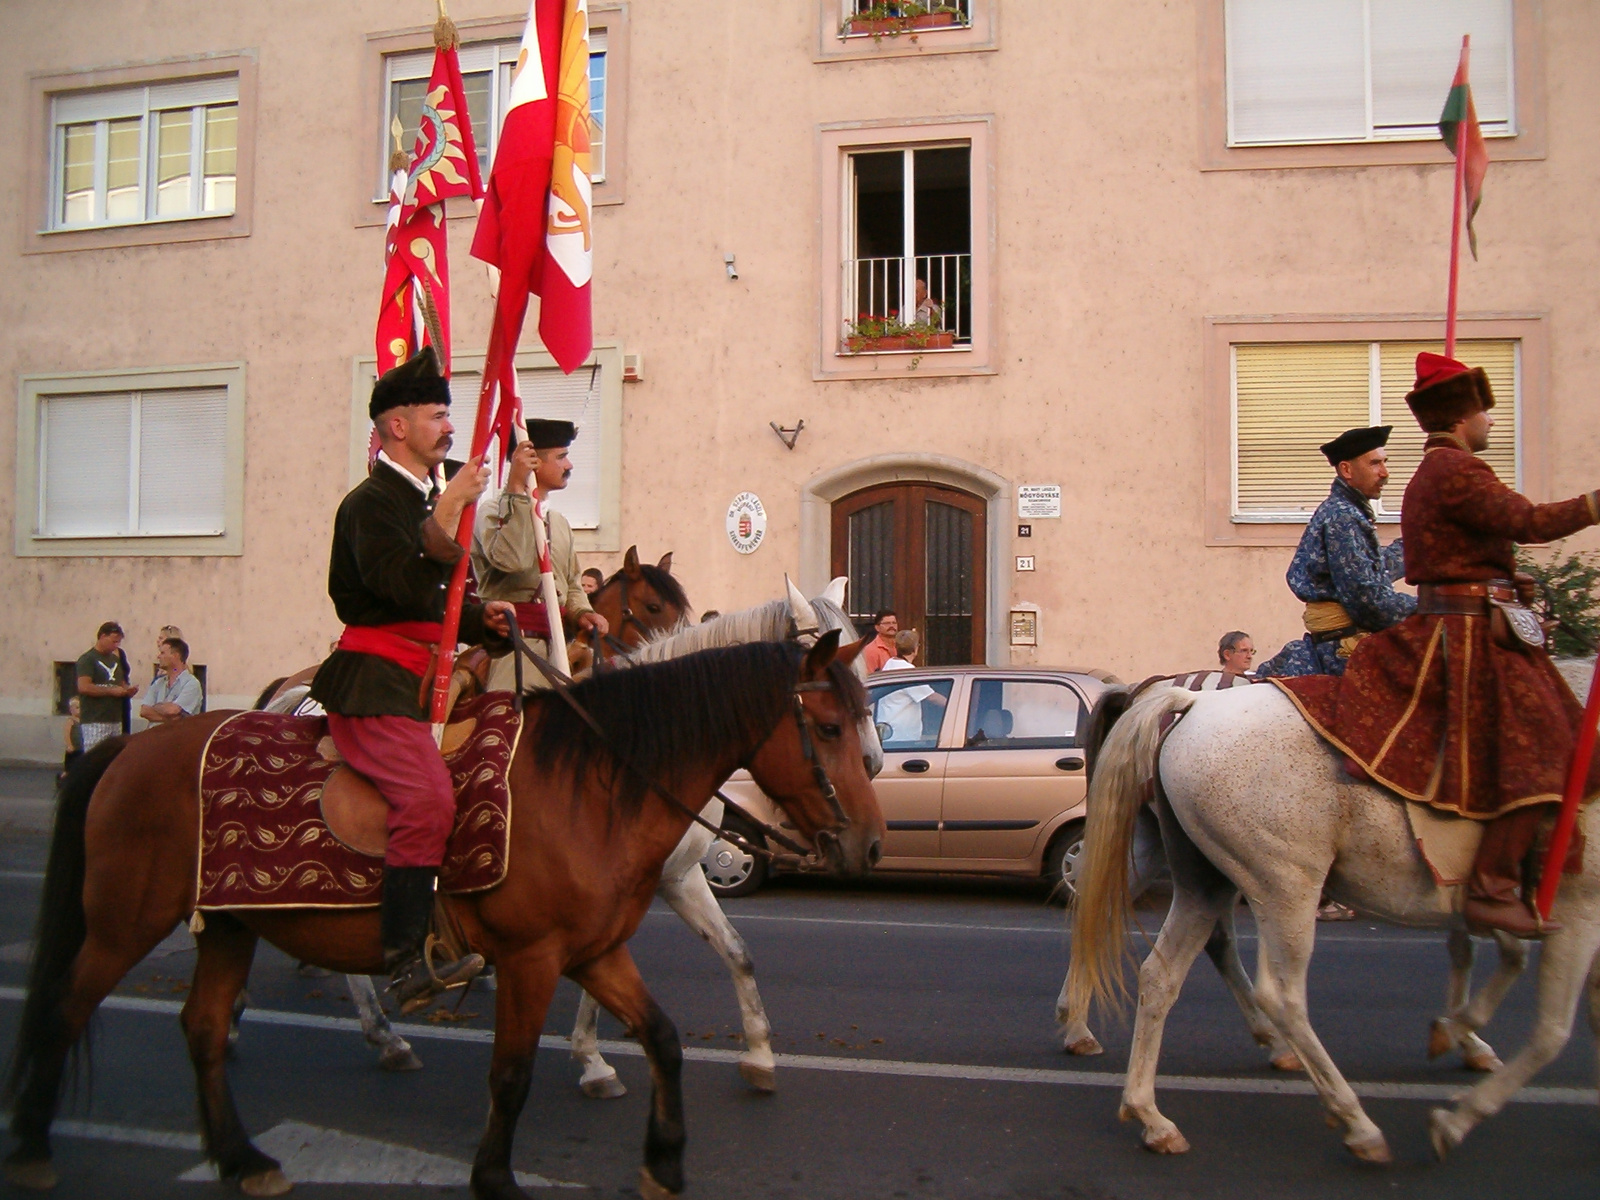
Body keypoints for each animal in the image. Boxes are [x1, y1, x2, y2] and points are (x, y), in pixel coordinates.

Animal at [3, 633, 876, 1196]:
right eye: (829, 725)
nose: (868, 842)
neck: (592, 783)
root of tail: (125, 748)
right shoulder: (533, 956)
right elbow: (512, 1073)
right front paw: (496, 1174)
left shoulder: (596, 948)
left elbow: (662, 1035)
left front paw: (664, 1158)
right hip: (124, 920)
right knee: (65, 1008)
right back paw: (37, 1145)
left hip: (225, 925)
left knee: (204, 1029)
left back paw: (243, 1156)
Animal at [1062, 684, 1600, 1164]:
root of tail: (1193, 701)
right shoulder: (1577, 914)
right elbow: (1550, 1029)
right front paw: (1456, 1108)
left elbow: (1512, 964)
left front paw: (1458, 1035)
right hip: (1285, 885)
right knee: (1280, 995)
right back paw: (1355, 1122)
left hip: (1204, 879)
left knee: (1160, 969)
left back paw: (1150, 1114)